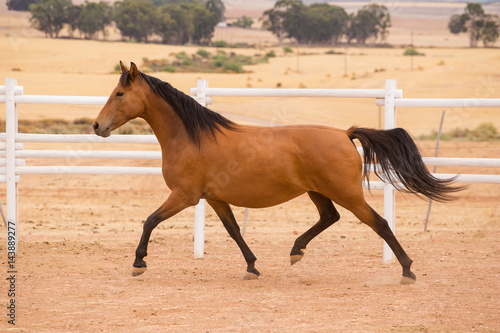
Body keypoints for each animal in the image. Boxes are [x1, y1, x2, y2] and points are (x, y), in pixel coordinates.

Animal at [93, 61, 460, 282]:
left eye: (120, 93)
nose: (98, 126)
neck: (191, 137)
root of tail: (345, 134)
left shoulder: (185, 196)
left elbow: (150, 221)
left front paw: (138, 263)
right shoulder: (214, 198)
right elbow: (234, 232)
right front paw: (252, 267)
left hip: (346, 193)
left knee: (379, 223)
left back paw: (407, 270)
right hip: (318, 191)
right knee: (330, 218)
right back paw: (296, 251)